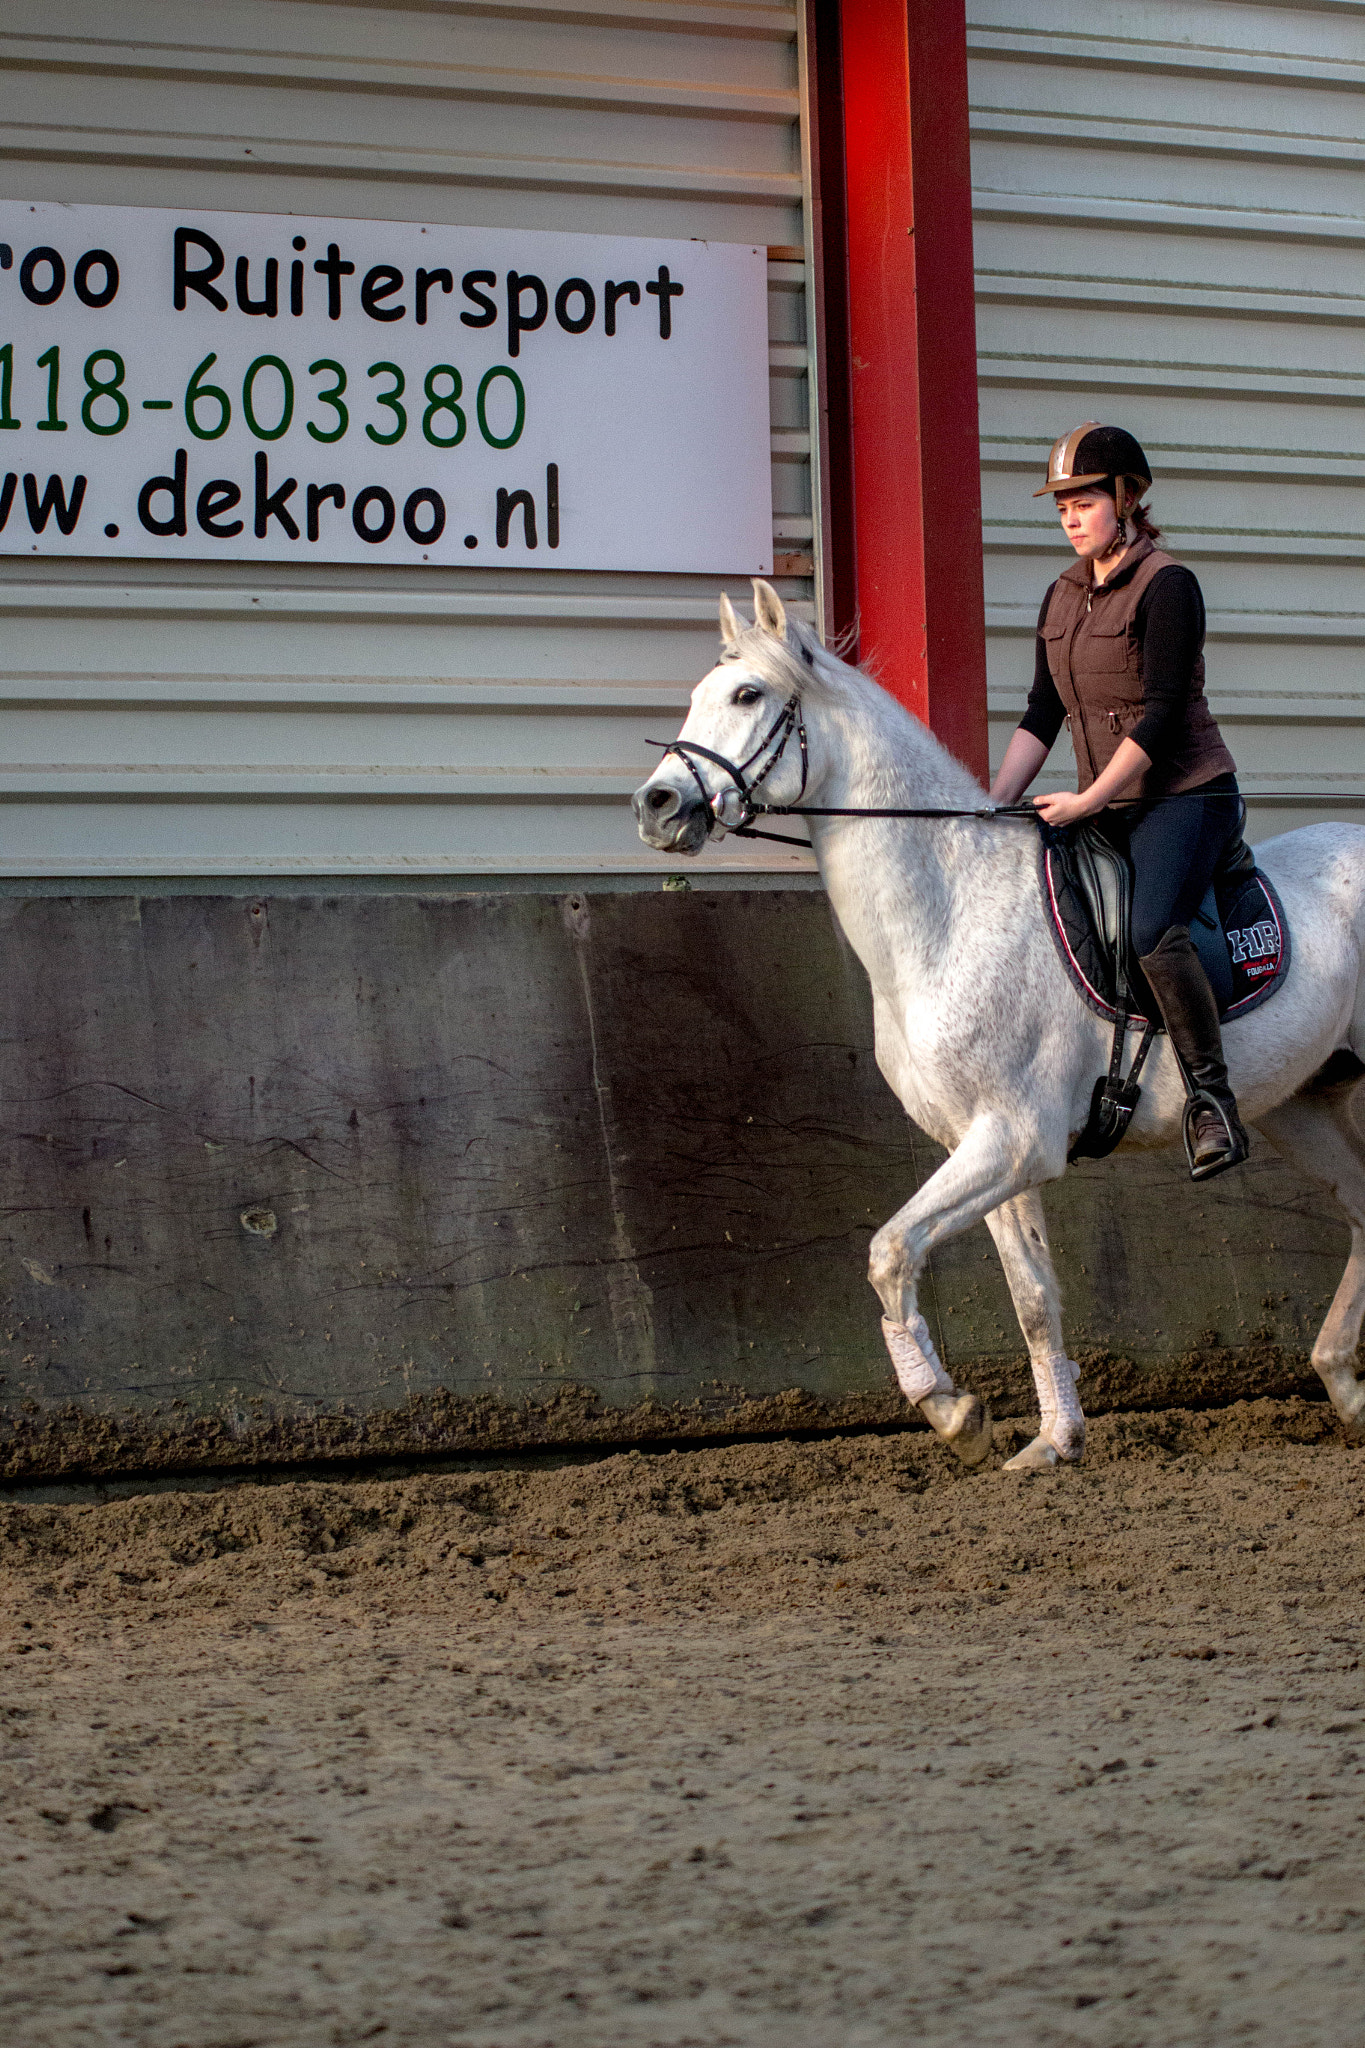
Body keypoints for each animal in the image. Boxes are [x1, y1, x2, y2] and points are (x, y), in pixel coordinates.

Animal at [634, 585, 1365, 1466]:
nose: (655, 806)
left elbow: (890, 1251)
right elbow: (1031, 1298)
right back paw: (1342, 1383)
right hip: (1303, 1103)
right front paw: (1051, 1441)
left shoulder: (1013, 1142)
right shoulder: (980, 1144)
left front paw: (951, 1410)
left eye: (747, 695)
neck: (950, 909)